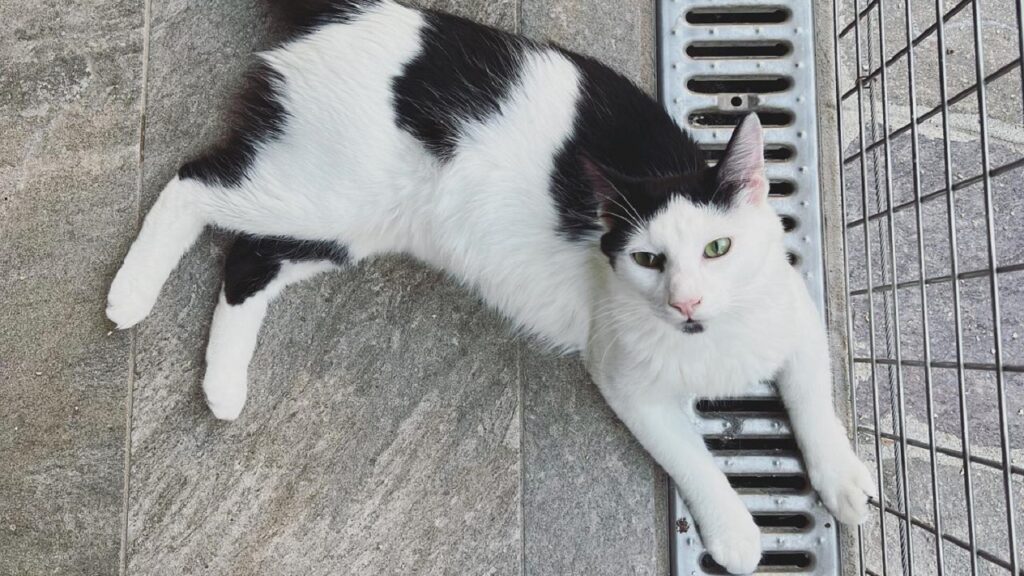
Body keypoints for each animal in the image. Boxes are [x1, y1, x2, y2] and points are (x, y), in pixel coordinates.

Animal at [105, 0, 872, 569]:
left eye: (719, 249)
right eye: (649, 260)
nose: (686, 301)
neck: (713, 339)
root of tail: (373, 11)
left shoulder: (796, 315)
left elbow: (813, 397)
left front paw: (843, 481)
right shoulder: (626, 380)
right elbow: (690, 454)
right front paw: (737, 532)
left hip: (347, 222)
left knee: (247, 259)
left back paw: (222, 383)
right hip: (320, 194)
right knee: (193, 183)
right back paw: (131, 294)